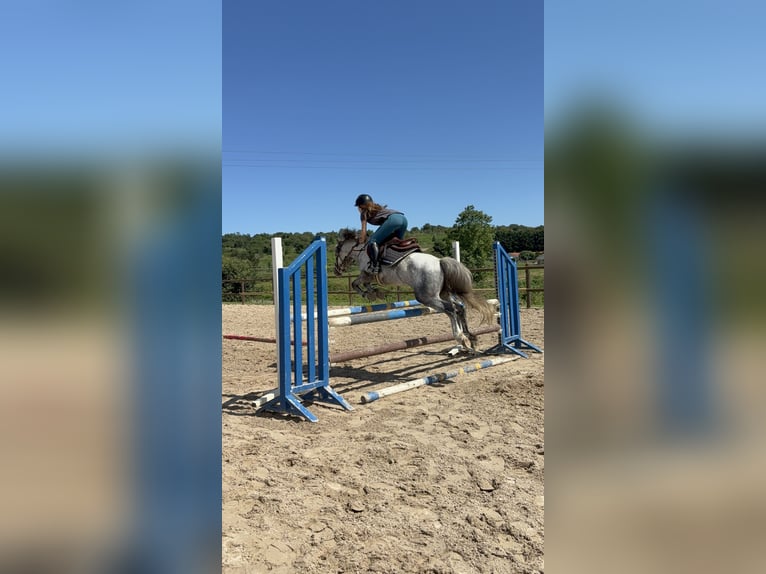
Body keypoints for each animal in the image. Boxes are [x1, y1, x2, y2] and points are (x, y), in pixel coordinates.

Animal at [333, 229, 495, 352]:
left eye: (337, 251)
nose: (336, 271)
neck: (362, 250)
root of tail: (439, 262)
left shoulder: (367, 274)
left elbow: (355, 283)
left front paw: (369, 294)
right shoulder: (370, 277)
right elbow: (364, 285)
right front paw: (375, 293)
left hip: (426, 297)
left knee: (450, 309)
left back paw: (461, 337)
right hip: (441, 294)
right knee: (459, 307)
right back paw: (471, 338)